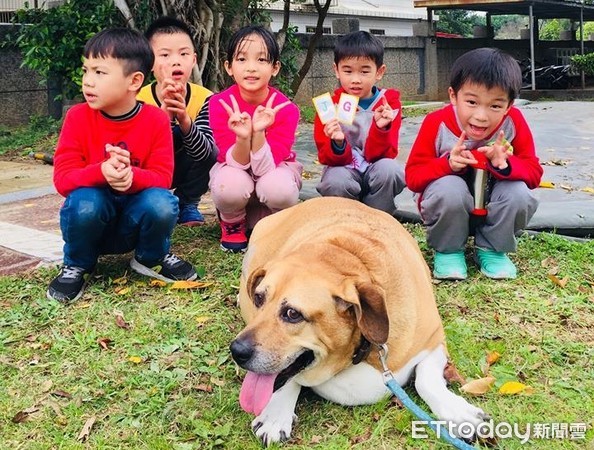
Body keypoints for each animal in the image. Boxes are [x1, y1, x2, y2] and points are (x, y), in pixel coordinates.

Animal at [228, 198, 486, 446]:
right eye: (259, 298)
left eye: (293, 314)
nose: (236, 350)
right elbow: (286, 379)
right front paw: (275, 414)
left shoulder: (434, 339)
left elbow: (426, 379)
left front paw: (458, 413)